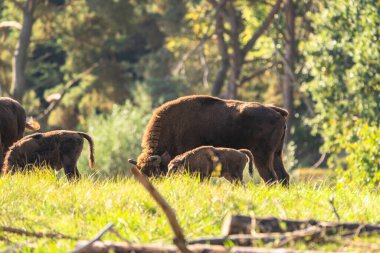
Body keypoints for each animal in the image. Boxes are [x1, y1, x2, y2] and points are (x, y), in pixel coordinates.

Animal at [138, 95, 290, 186]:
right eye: (143, 174)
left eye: (155, 172)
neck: (173, 126)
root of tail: (277, 112)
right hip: (276, 153)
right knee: (283, 176)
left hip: (262, 155)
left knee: (270, 177)